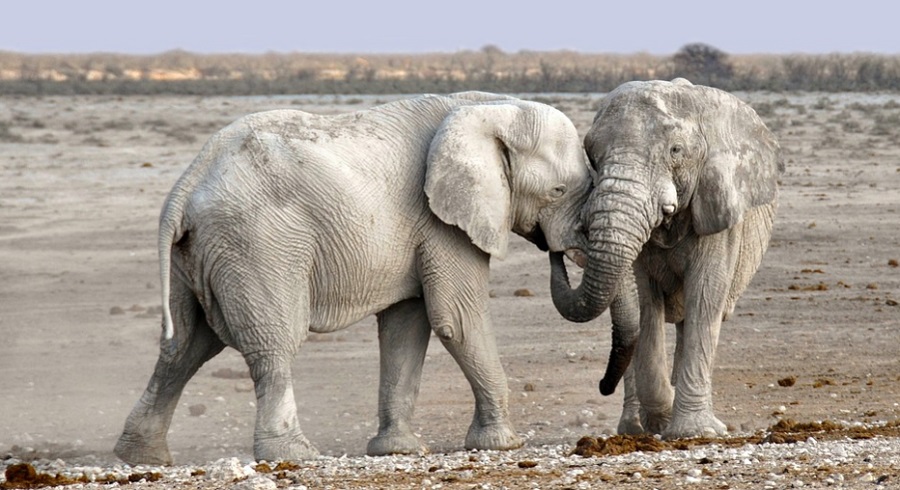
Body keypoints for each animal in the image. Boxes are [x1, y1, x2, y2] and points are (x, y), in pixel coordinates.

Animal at [116, 91, 596, 464]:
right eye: (557, 191)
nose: (557, 251)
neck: (490, 107)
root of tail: (186, 184)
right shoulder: (442, 222)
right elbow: (457, 320)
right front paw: (503, 444)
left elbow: (406, 327)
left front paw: (398, 450)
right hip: (257, 244)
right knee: (273, 343)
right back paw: (294, 455)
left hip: (198, 254)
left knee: (185, 346)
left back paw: (142, 457)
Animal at [548, 78, 780, 438]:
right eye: (592, 156)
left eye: (676, 151)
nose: (556, 250)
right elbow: (644, 304)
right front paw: (663, 419)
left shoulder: (718, 209)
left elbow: (706, 296)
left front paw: (695, 432)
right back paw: (634, 428)